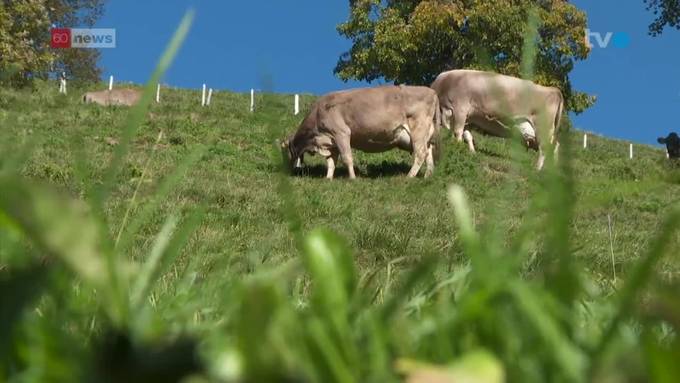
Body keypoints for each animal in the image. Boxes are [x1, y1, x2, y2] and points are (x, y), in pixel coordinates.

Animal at [282, 85, 440, 180]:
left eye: (284, 152)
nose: (286, 171)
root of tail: (432, 91)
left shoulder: (342, 133)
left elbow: (347, 158)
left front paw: (352, 178)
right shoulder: (331, 141)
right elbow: (331, 162)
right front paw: (328, 178)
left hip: (418, 129)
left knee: (420, 153)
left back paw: (409, 176)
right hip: (422, 134)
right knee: (428, 151)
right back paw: (428, 175)